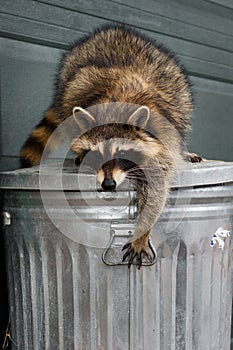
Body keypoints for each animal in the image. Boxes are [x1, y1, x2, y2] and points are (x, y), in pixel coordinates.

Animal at [20, 24, 199, 270]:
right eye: (95, 154)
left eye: (122, 153)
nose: (108, 184)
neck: (114, 107)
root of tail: (114, 30)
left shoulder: (160, 139)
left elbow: (157, 186)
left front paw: (142, 232)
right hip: (71, 79)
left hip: (177, 86)